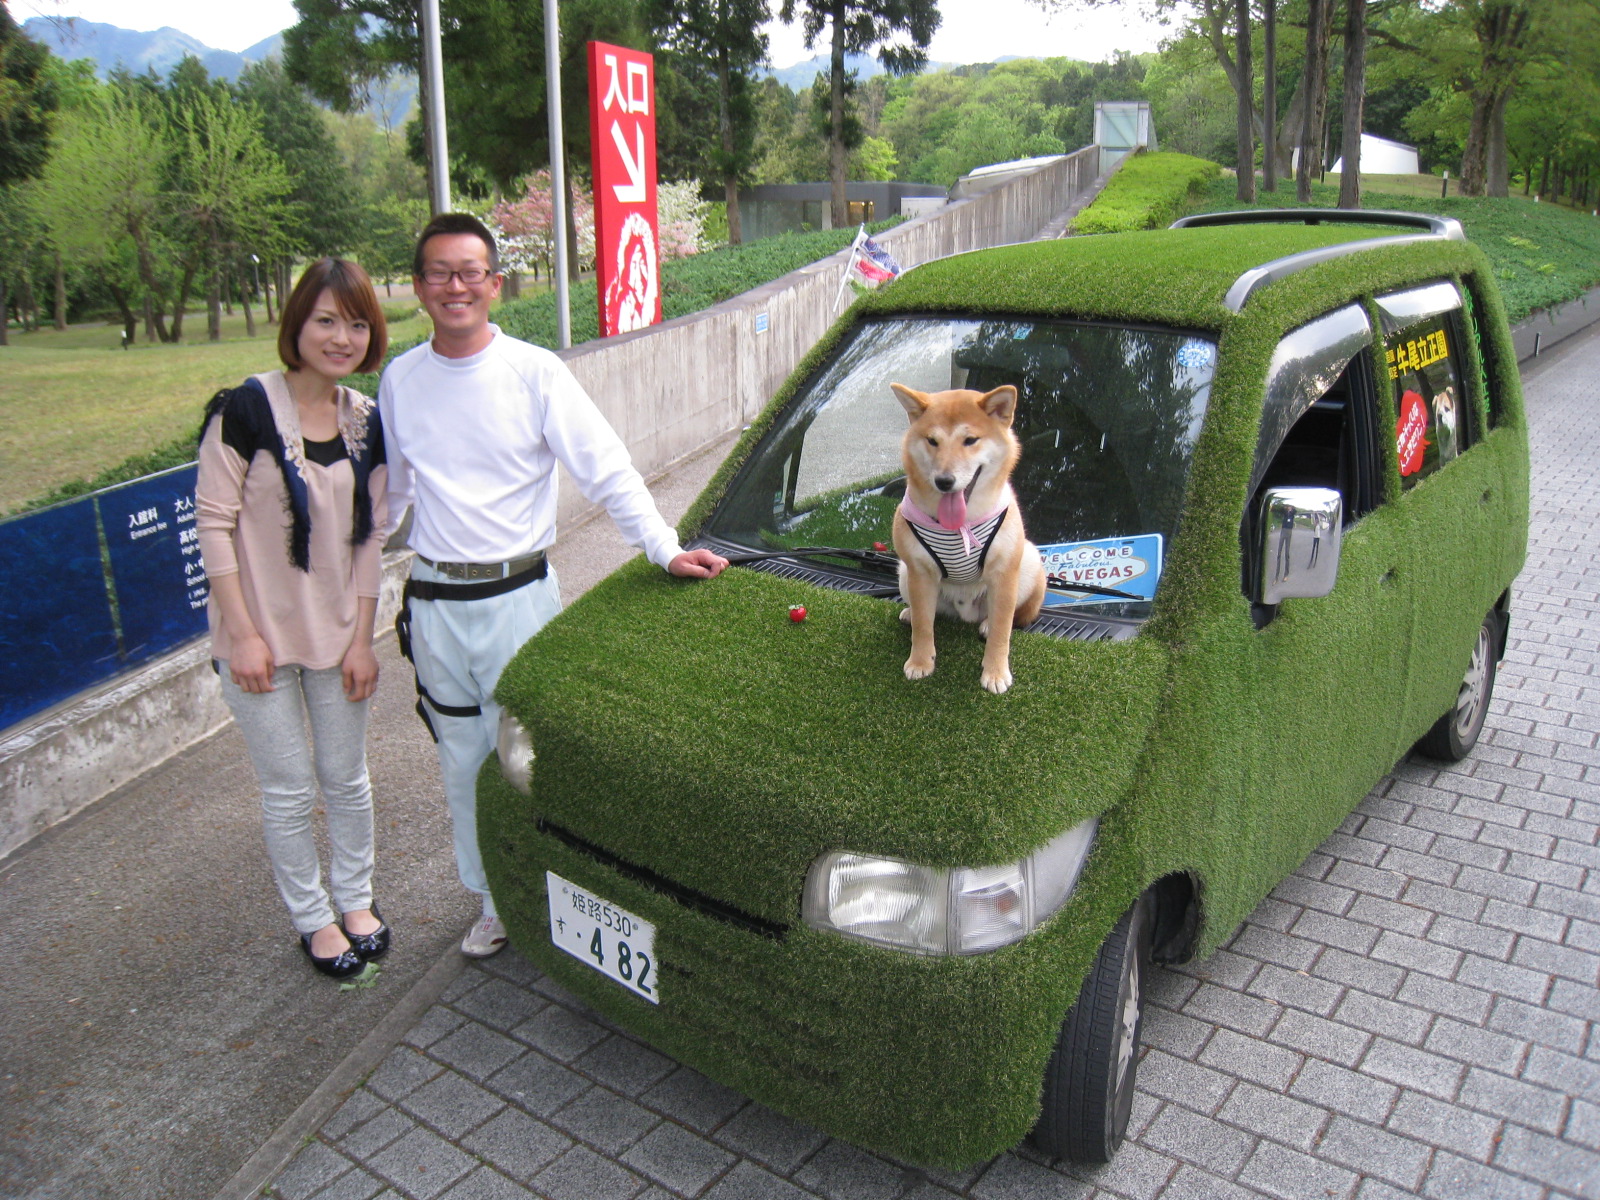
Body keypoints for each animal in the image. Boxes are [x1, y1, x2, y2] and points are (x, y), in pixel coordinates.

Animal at [889, 380, 1049, 700]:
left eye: (970, 440)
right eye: (932, 441)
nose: (944, 481)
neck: (959, 526)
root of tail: (965, 612)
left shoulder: (1003, 572)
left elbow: (1002, 631)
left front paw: (996, 672)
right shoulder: (920, 573)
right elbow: (924, 627)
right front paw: (921, 661)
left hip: (1026, 562)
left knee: (1010, 616)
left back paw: (987, 624)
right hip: (904, 573)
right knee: (926, 613)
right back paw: (910, 613)